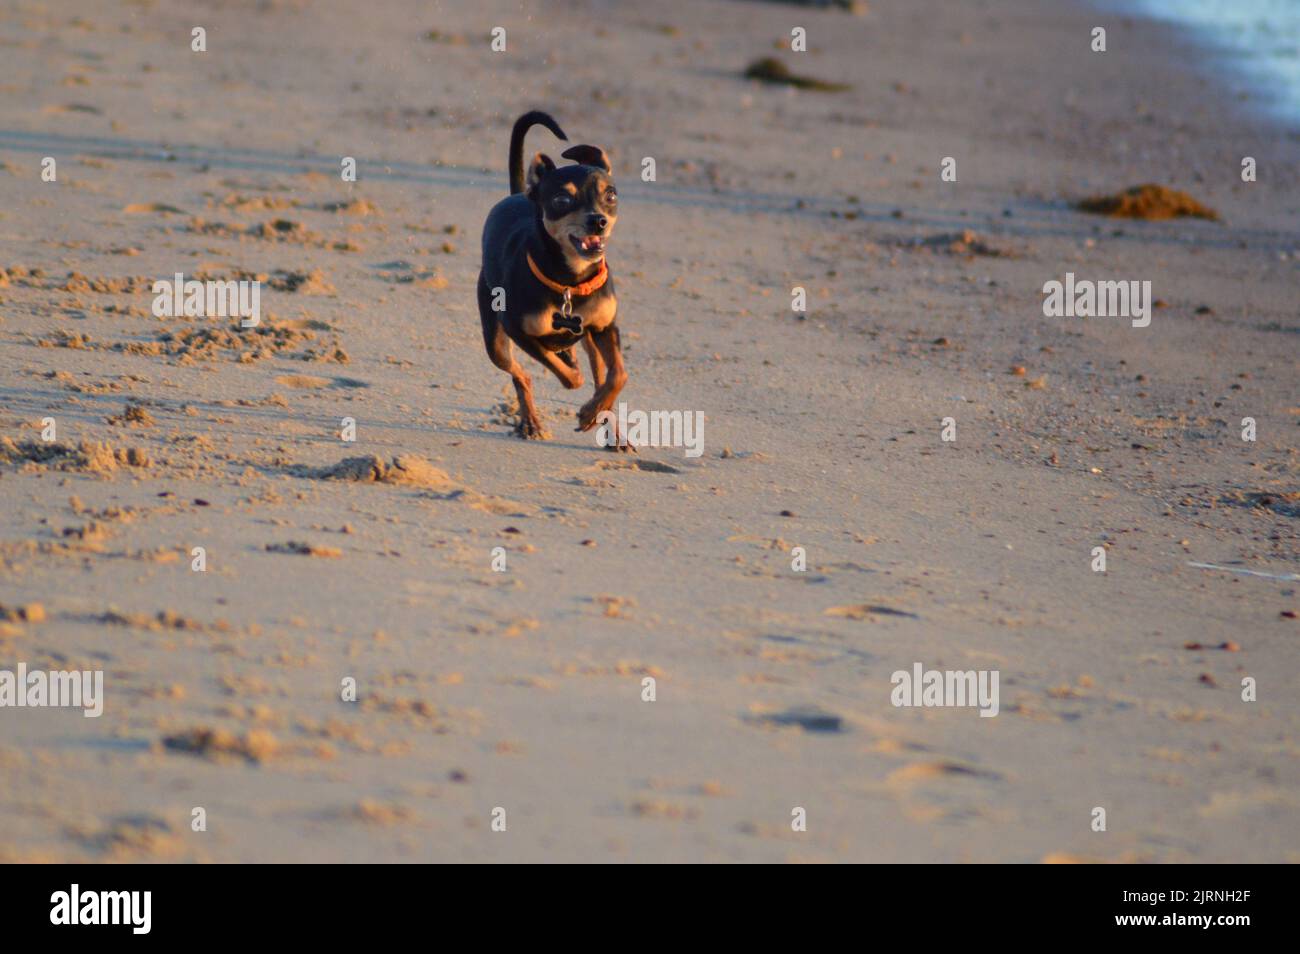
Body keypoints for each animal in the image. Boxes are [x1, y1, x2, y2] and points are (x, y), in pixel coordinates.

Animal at [478, 110, 629, 447]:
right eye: (562, 200)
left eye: (610, 195)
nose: (598, 221)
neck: (571, 280)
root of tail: (519, 193)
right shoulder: (519, 331)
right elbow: (566, 375)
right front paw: (580, 398)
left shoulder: (605, 327)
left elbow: (618, 375)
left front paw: (591, 412)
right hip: (496, 340)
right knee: (522, 375)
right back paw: (531, 422)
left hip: (591, 339)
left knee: (600, 374)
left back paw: (608, 426)